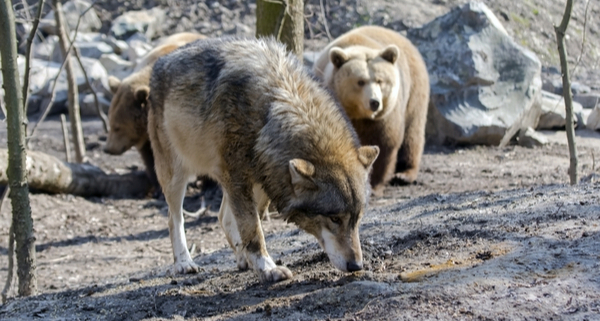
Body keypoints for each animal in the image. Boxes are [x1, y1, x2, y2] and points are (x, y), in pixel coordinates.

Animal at [103, 32, 206, 192]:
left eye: (117, 127)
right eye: (111, 123)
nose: (108, 149)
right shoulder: (149, 134)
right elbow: (152, 157)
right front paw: (158, 185)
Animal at [312, 25, 428, 194]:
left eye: (380, 80)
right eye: (360, 81)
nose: (375, 102)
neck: (358, 114)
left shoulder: (386, 116)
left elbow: (384, 143)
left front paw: (373, 184)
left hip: (414, 93)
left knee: (412, 134)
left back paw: (404, 174)